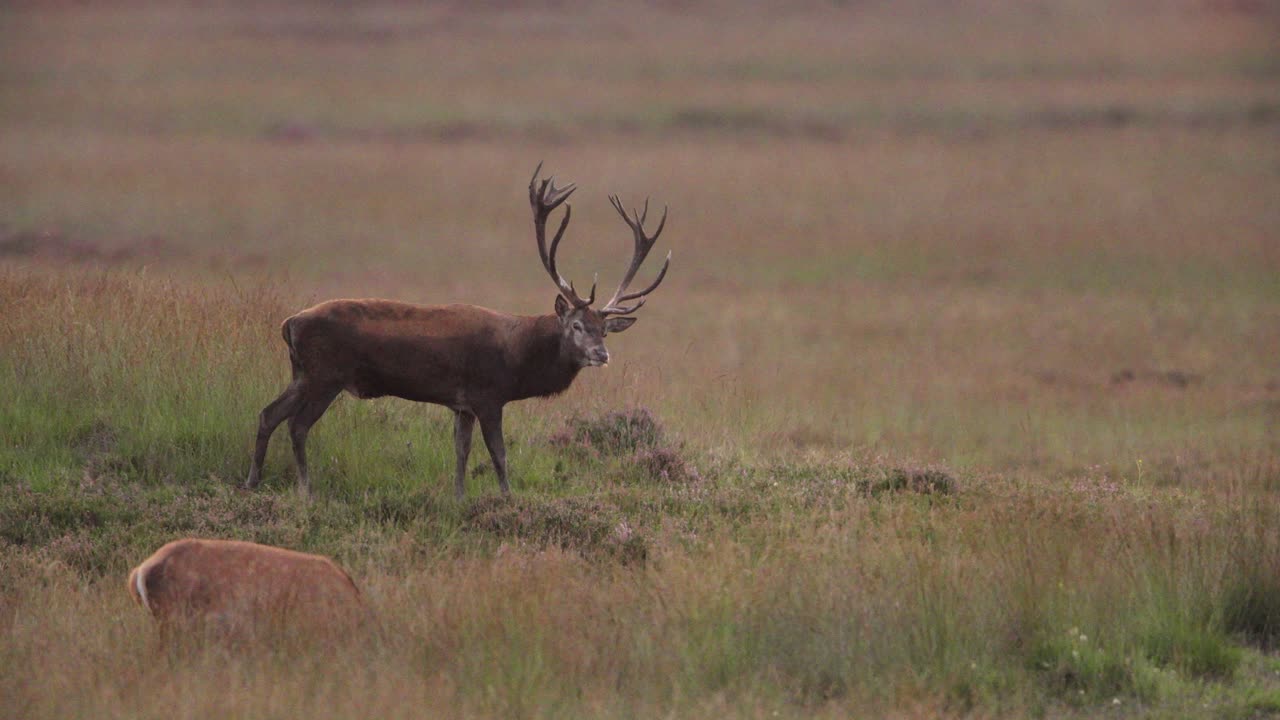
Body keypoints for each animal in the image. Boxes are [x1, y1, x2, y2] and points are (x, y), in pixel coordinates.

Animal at [244, 164, 672, 499]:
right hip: (325, 374)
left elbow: (461, 450)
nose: (602, 354)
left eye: (606, 330)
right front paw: (507, 498)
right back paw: (306, 489)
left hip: (303, 373)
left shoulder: (462, 404)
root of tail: (289, 324)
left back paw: (252, 481)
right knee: (297, 424)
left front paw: (459, 496)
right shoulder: (488, 394)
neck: (517, 357)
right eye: (578, 325)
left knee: (268, 413)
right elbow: (498, 453)